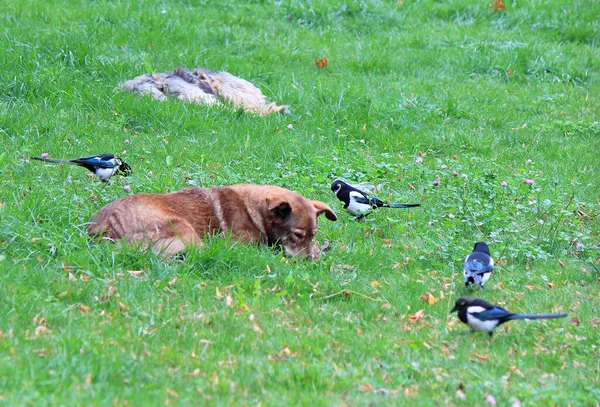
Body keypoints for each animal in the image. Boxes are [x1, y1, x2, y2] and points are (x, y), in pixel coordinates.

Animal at [85, 185, 338, 258]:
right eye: (296, 235)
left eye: (313, 234)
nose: (308, 261)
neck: (255, 211)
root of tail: (104, 225)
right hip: (186, 231)